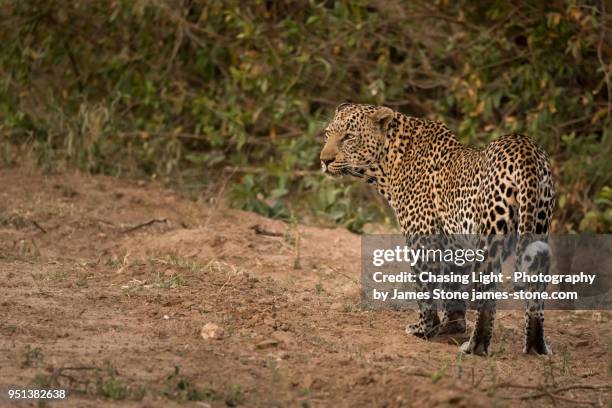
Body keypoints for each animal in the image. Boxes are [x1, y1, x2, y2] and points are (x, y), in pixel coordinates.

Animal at [320, 103, 556, 356]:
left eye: (348, 137)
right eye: (327, 134)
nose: (324, 160)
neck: (387, 163)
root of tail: (526, 150)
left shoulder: (422, 239)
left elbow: (425, 286)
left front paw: (424, 329)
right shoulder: (456, 245)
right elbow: (453, 287)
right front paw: (451, 327)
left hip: (490, 239)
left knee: (487, 297)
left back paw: (475, 347)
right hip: (540, 231)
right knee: (536, 297)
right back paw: (536, 348)